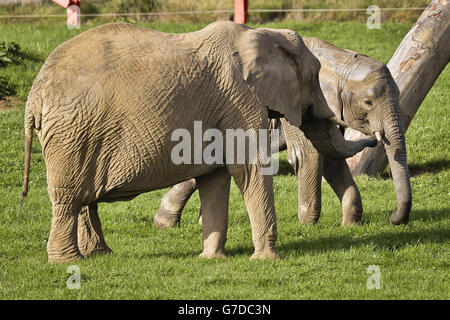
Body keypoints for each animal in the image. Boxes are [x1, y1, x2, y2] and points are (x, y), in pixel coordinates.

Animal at [22, 21, 376, 262]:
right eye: (314, 77)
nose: (373, 137)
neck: (263, 35)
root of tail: (35, 93)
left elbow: (215, 177)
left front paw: (211, 259)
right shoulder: (239, 100)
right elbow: (248, 168)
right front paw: (267, 260)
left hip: (80, 132)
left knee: (85, 197)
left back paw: (101, 255)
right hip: (72, 133)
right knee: (69, 197)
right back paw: (68, 262)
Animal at [154, 37, 412, 228]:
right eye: (368, 102)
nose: (393, 218)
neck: (338, 57)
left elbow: (331, 155)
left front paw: (350, 224)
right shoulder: (297, 103)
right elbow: (309, 154)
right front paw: (307, 225)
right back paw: (167, 222)